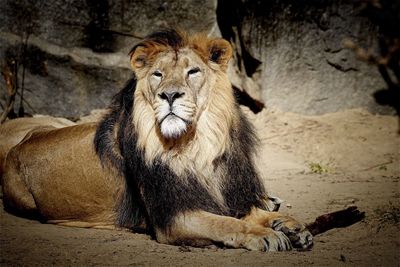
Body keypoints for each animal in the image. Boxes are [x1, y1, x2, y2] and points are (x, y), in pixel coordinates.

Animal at [0, 30, 312, 252]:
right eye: (157, 75)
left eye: (193, 72)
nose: (169, 95)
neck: (195, 145)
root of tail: (17, 147)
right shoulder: (173, 216)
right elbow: (224, 223)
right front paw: (265, 234)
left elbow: (245, 212)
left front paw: (290, 225)